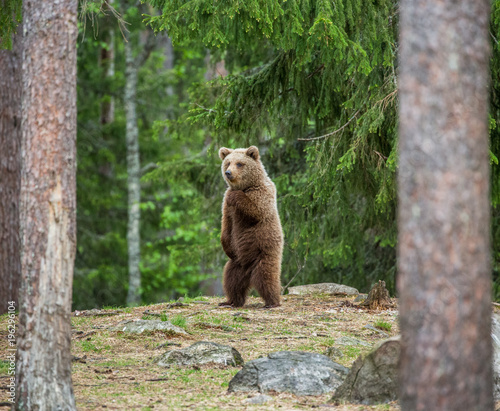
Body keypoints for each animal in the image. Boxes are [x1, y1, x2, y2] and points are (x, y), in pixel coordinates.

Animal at [218, 146, 284, 308]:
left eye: (239, 163)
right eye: (228, 163)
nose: (228, 173)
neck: (245, 186)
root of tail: (248, 269)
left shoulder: (262, 193)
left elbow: (256, 210)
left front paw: (237, 196)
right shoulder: (227, 207)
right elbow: (226, 225)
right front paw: (225, 245)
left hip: (264, 253)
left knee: (266, 277)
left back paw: (272, 302)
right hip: (236, 263)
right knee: (231, 280)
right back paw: (230, 301)